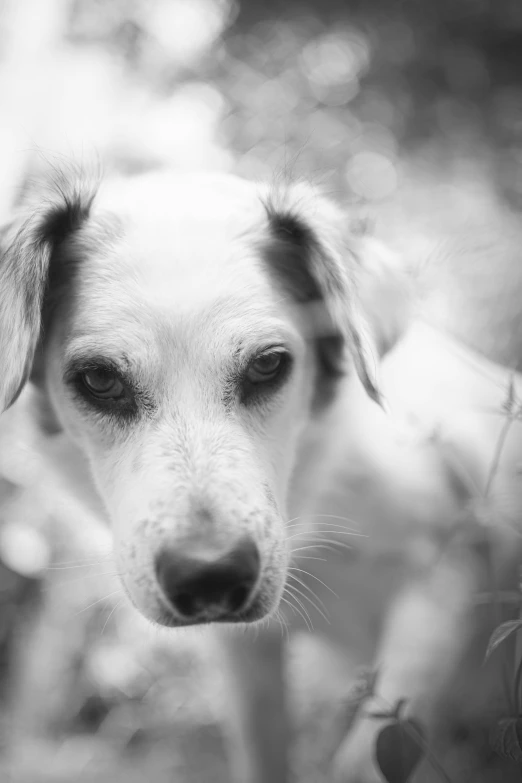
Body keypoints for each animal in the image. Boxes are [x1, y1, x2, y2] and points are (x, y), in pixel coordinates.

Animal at [1, 162, 520, 780]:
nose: (210, 577)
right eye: (100, 379)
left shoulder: (442, 590)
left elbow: (363, 761)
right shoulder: (247, 657)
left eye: (268, 365)